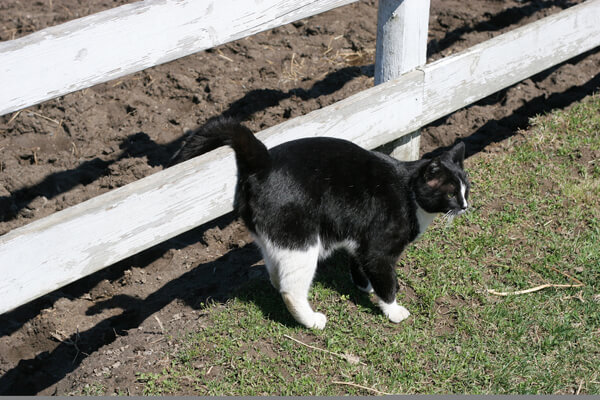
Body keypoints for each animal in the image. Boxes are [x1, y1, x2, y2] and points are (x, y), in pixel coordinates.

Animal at [176, 117, 472, 330]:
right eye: (450, 194)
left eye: (466, 189)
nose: (466, 206)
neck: (409, 192)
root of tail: (262, 162)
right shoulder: (378, 250)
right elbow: (387, 282)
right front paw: (394, 310)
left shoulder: (359, 238)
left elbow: (357, 262)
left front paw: (363, 285)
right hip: (302, 241)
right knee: (291, 288)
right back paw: (312, 320)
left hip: (276, 238)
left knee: (275, 271)